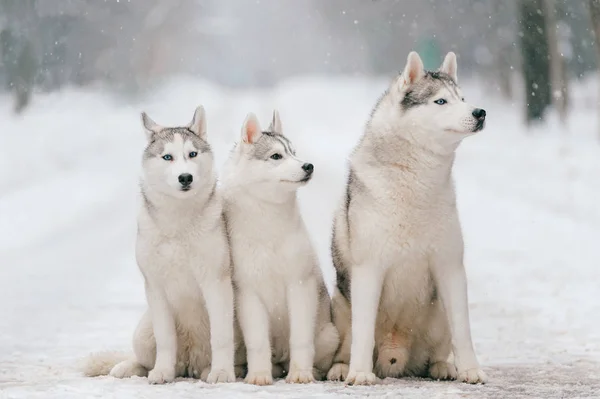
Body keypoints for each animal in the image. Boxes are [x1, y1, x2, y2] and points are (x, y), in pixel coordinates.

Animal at [82, 106, 237, 384]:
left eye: (192, 154)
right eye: (167, 157)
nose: (185, 177)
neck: (178, 224)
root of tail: (190, 366)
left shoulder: (215, 282)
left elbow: (221, 337)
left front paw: (221, 373)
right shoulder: (155, 287)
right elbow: (166, 340)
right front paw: (162, 372)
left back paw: (212, 370)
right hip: (143, 331)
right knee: (144, 360)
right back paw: (128, 367)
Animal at [223, 111, 340, 386]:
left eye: (294, 152)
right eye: (276, 156)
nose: (308, 166)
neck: (269, 224)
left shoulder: (299, 285)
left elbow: (301, 339)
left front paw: (301, 374)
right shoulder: (248, 294)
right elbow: (258, 343)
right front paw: (258, 375)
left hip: (329, 335)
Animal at [328, 51, 488, 386]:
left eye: (463, 98)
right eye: (440, 101)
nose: (480, 112)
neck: (415, 182)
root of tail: (396, 359)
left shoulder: (450, 267)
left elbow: (463, 331)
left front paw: (470, 370)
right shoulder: (369, 270)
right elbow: (363, 334)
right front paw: (360, 374)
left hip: (438, 315)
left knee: (437, 352)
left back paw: (443, 367)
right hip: (339, 305)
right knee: (347, 344)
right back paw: (341, 368)